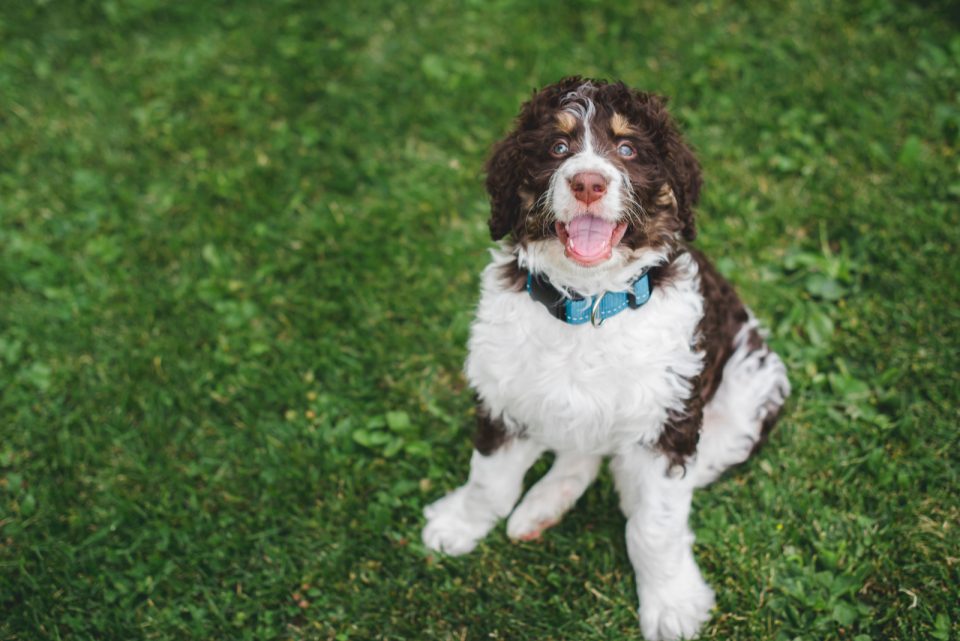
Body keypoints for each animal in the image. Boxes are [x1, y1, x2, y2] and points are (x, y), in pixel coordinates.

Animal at [424, 79, 792, 640]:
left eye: (627, 149)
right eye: (557, 147)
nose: (589, 183)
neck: (589, 305)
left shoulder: (669, 421)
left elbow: (655, 525)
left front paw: (670, 603)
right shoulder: (503, 393)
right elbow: (488, 480)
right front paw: (459, 524)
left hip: (748, 398)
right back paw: (542, 506)